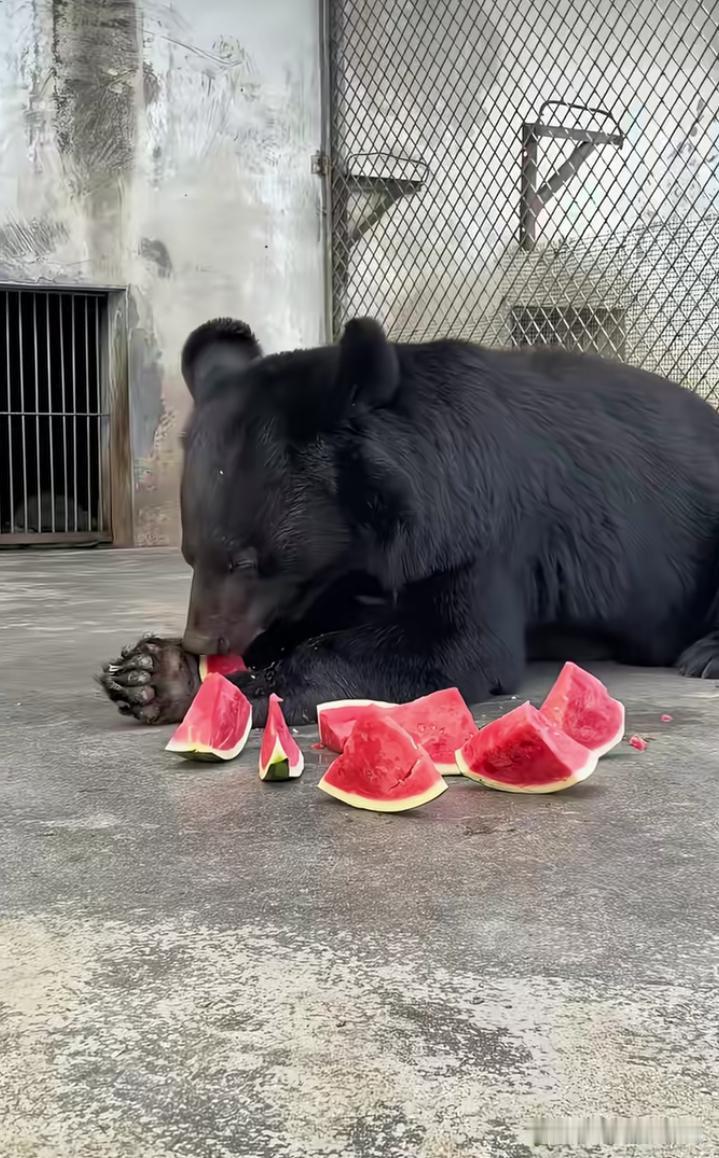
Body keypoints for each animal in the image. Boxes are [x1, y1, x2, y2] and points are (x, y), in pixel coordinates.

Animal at [99, 314, 719, 728]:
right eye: (190, 554)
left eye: (247, 560)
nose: (206, 639)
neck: (361, 537)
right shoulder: (335, 572)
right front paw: (156, 673)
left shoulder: (475, 524)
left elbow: (455, 642)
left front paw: (237, 690)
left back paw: (703, 655)